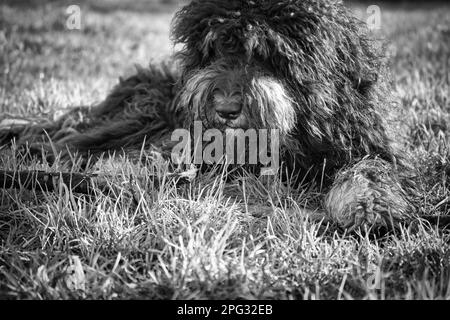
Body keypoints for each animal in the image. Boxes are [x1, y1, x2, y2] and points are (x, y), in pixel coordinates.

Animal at [0, 0, 418, 230]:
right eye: (216, 48)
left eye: (265, 53)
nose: (226, 109)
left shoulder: (370, 142)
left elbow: (370, 167)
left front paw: (368, 204)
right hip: (138, 118)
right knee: (64, 142)